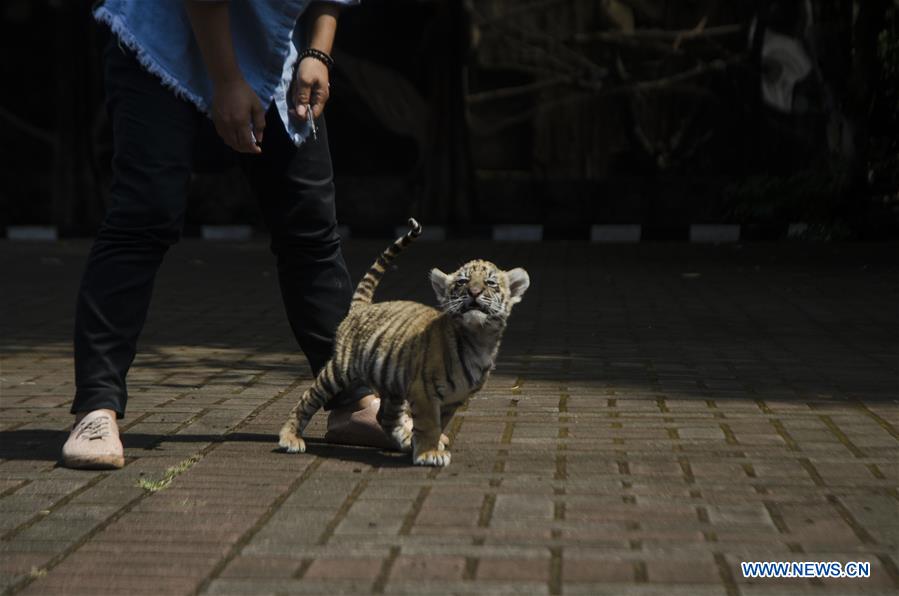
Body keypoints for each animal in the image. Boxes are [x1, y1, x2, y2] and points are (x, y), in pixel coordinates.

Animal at [278, 218, 530, 466]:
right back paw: (290, 438)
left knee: (385, 417)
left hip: (392, 384)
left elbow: (439, 423)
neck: (478, 338)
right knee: (308, 398)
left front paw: (425, 445)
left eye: (490, 283)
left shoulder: (454, 398)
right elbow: (429, 424)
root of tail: (361, 307)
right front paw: (429, 453)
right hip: (340, 369)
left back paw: (406, 440)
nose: (474, 292)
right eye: (463, 281)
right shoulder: (424, 390)